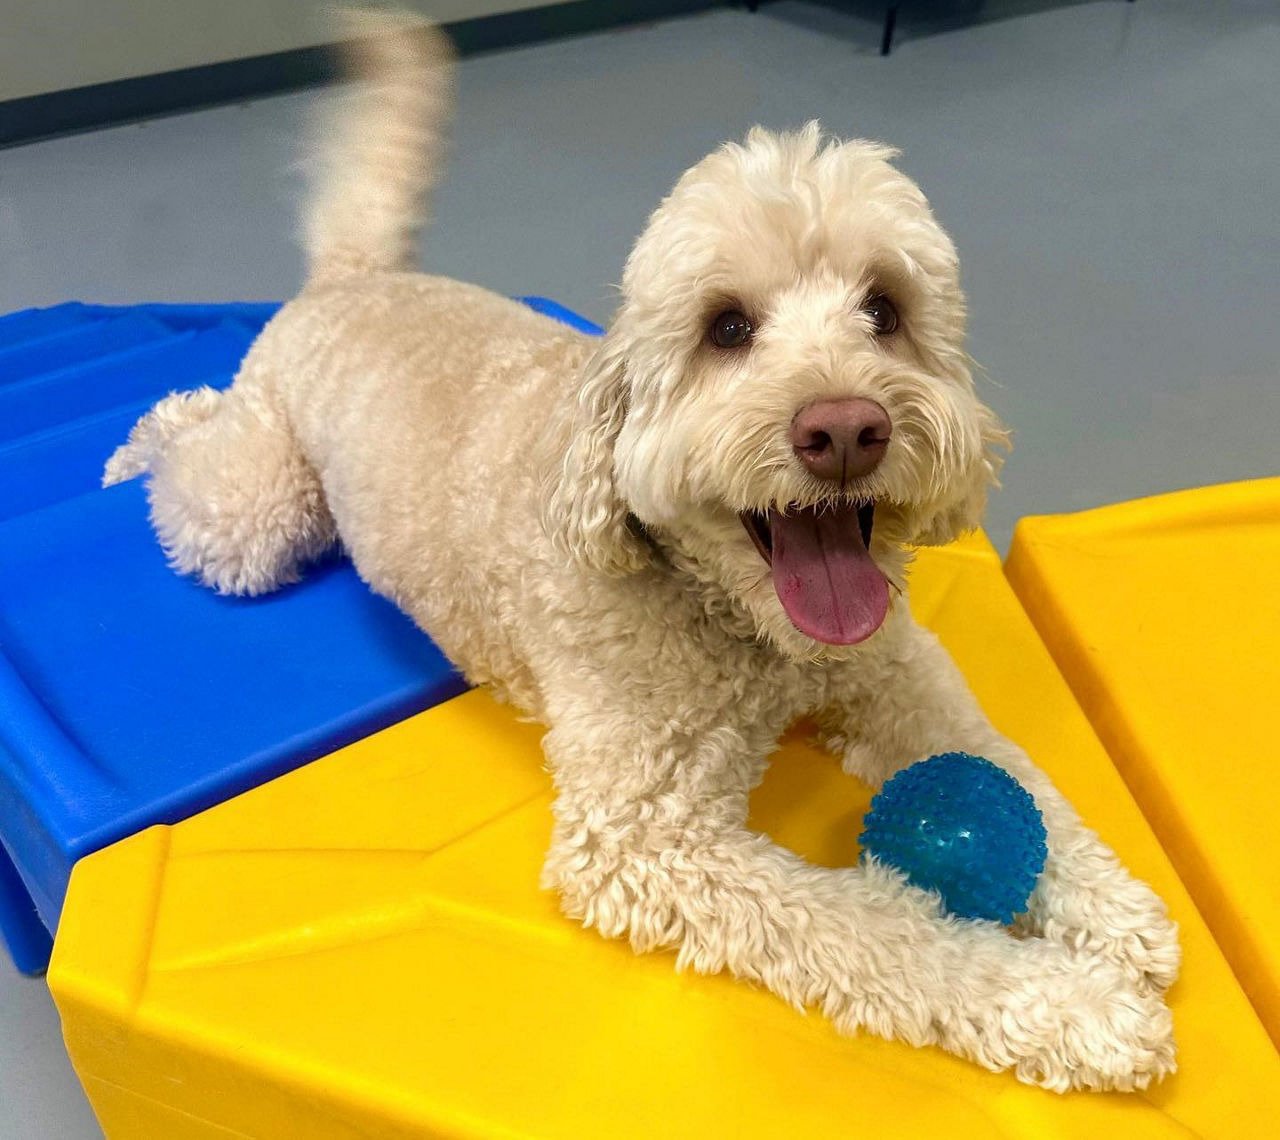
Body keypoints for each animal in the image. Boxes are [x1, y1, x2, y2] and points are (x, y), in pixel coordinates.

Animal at [107, 11, 1177, 1095]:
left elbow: (1008, 767)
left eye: (883, 310)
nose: (846, 429)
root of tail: (354, 279)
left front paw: (1112, 911)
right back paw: (135, 443)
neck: (742, 626)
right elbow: (873, 930)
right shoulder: (643, 837)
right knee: (193, 445)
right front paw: (1069, 1006)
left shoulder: (896, 670)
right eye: (727, 328)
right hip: (258, 508)